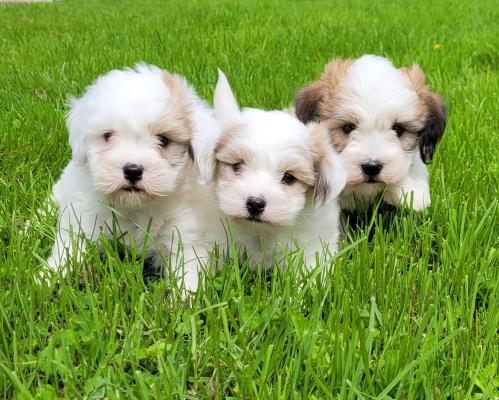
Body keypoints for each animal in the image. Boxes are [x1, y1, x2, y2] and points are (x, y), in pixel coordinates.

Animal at [45, 64, 221, 292]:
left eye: (164, 140)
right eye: (108, 136)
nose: (133, 170)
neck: (136, 207)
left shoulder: (186, 234)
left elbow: (188, 271)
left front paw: (183, 298)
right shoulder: (83, 219)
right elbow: (69, 249)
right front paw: (45, 278)